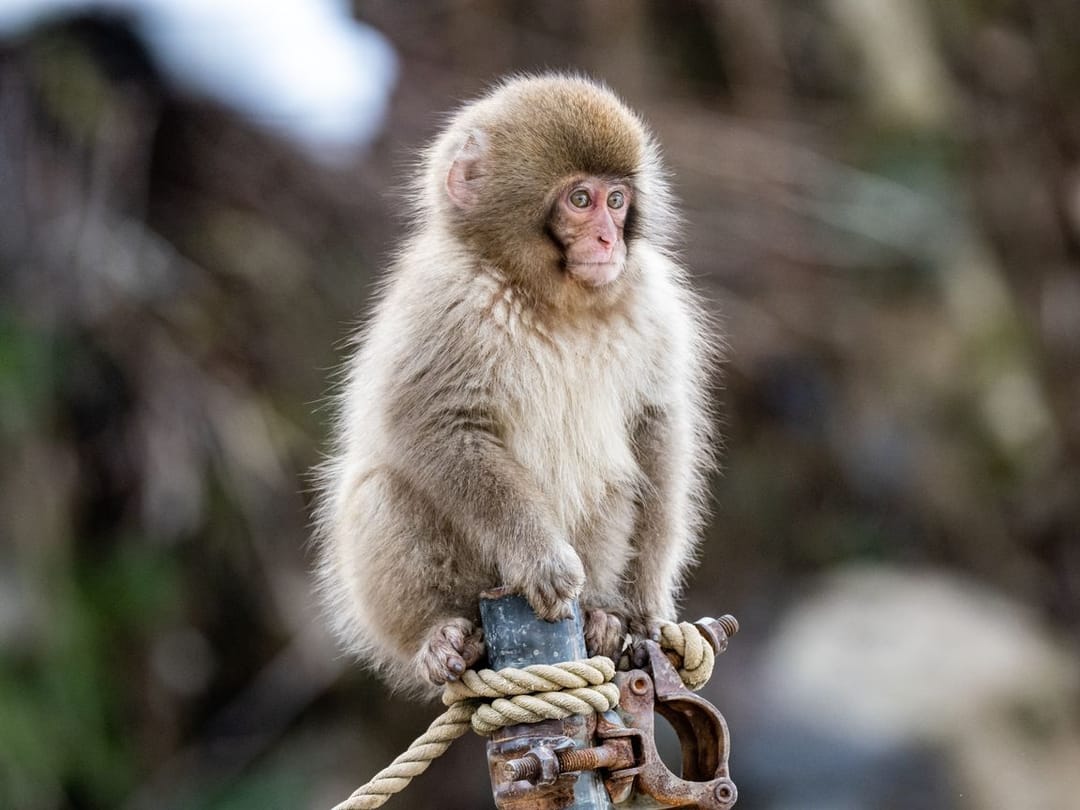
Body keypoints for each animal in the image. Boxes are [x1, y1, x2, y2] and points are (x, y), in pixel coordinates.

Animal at [314, 74, 715, 695]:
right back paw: (440, 637)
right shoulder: (446, 297)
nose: (609, 240)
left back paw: (602, 614)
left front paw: (645, 605)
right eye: (580, 200)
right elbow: (436, 425)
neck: (553, 297)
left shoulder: (653, 300)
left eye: (616, 201)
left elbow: (656, 427)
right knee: (382, 492)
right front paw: (540, 557)